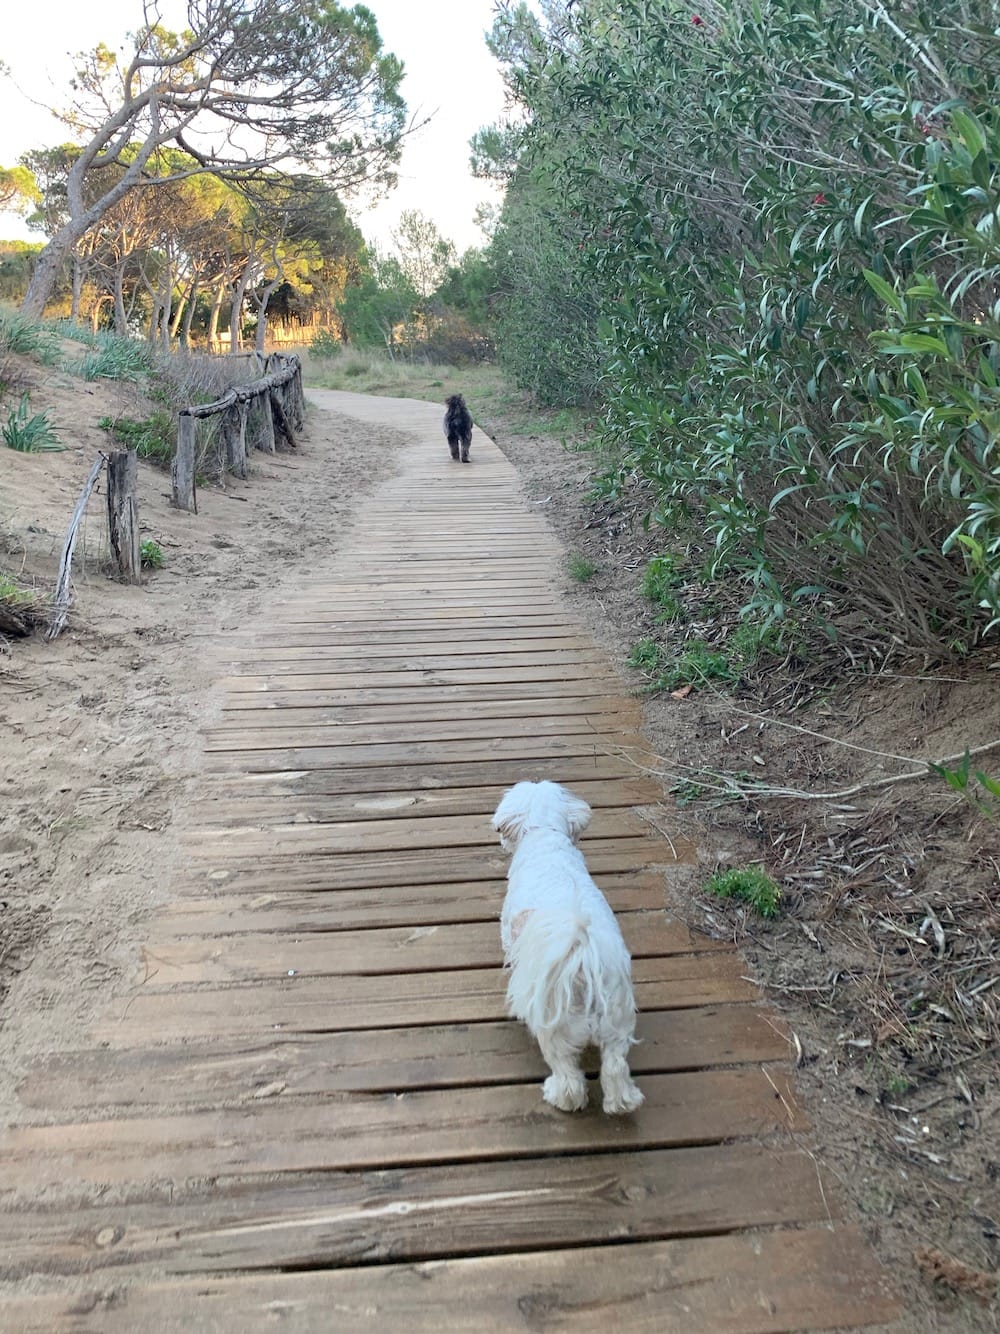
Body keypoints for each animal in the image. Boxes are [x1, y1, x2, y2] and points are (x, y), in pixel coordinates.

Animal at [490, 779, 645, 1115]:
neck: (544, 834)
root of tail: (584, 956)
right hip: (616, 1017)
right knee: (615, 1066)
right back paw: (622, 1102)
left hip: (555, 1020)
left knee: (566, 1071)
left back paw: (561, 1096)